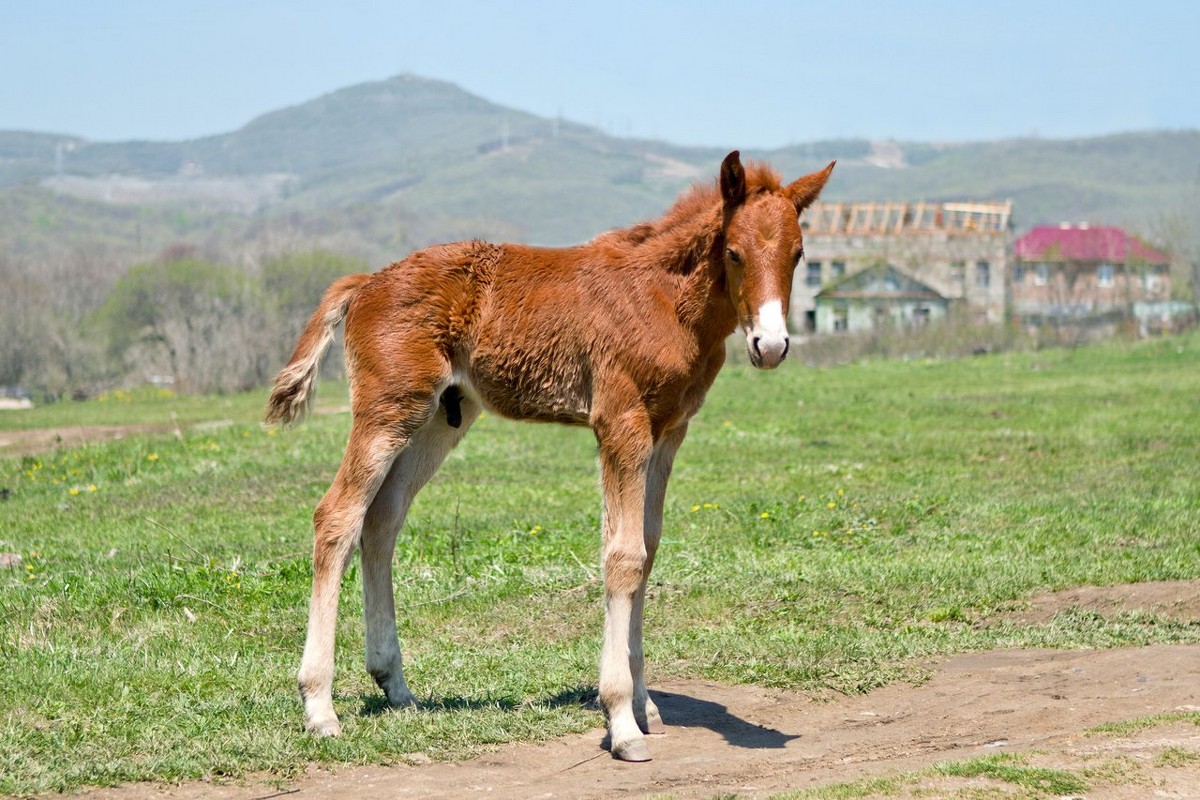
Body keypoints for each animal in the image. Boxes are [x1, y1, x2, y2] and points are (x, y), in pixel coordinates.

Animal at [267, 151, 835, 762]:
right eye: (733, 252)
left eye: (799, 255)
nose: (771, 346)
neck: (663, 299)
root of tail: (366, 282)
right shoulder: (620, 423)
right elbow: (623, 557)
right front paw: (622, 722)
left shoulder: (668, 432)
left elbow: (646, 548)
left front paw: (645, 706)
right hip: (387, 409)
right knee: (338, 516)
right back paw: (319, 707)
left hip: (441, 417)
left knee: (382, 521)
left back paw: (395, 686)